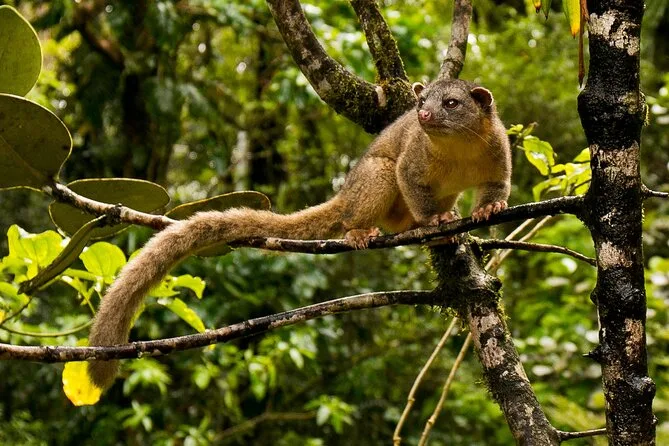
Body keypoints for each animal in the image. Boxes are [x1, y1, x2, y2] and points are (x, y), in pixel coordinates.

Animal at [87, 78, 512, 389]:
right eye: (424, 101)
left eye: (451, 103)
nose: (422, 112)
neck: (457, 150)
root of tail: (345, 194)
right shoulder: (415, 155)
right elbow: (406, 175)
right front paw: (432, 221)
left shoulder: (498, 147)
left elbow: (497, 184)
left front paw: (486, 210)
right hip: (367, 184)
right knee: (381, 175)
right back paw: (363, 230)